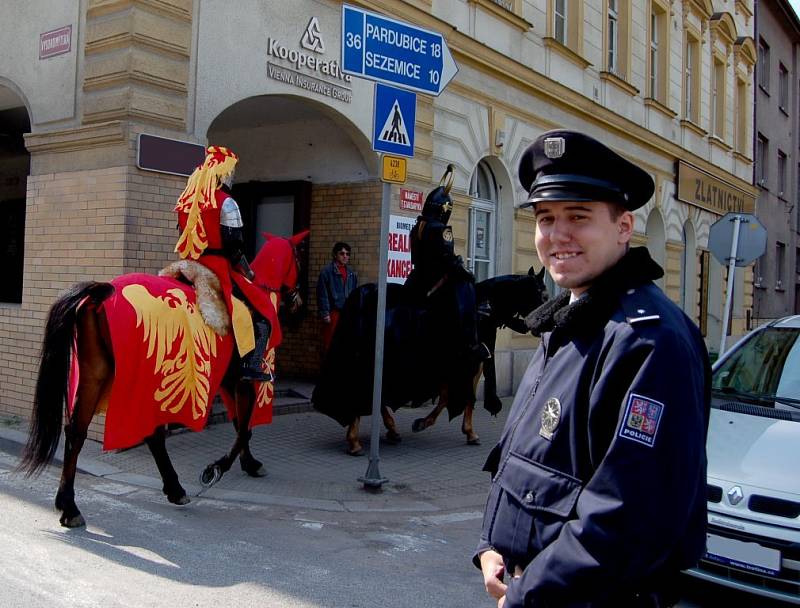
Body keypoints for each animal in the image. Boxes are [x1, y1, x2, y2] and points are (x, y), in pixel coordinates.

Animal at [19, 233, 306, 528]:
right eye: (298, 258)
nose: (298, 302)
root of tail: (102, 292)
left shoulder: (229, 381)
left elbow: (240, 424)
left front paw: (249, 463)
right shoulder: (244, 380)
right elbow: (244, 428)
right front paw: (217, 468)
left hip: (94, 375)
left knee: (77, 431)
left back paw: (70, 505)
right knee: (151, 435)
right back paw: (173, 488)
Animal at [312, 268, 552, 454]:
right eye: (543, 295)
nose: (545, 325)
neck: (481, 309)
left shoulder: (463, 366)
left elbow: (460, 397)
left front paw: (466, 431)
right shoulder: (467, 364)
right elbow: (457, 397)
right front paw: (428, 423)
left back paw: (389, 431)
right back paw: (355, 440)